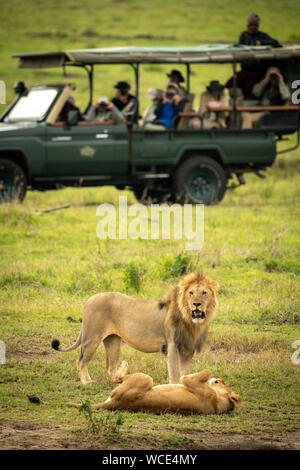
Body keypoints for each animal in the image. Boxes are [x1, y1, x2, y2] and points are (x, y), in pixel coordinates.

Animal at [52, 272, 218, 386]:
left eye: (204, 293)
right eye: (191, 293)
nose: (196, 304)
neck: (191, 321)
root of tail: (89, 299)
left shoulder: (188, 348)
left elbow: (185, 373)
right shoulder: (172, 345)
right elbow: (175, 373)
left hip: (113, 341)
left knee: (110, 367)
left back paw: (124, 378)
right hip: (92, 337)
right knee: (81, 361)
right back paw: (88, 382)